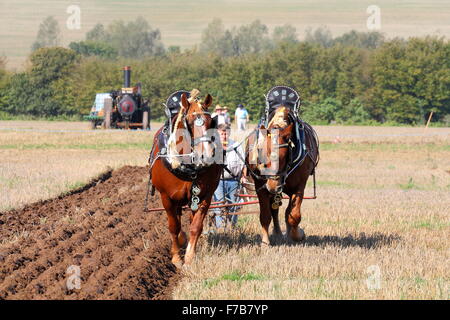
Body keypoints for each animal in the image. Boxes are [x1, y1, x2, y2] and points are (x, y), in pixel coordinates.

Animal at [149, 92, 223, 268]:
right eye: (189, 122)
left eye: (210, 121)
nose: (206, 155)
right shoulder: (166, 197)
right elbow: (173, 227)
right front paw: (176, 258)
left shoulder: (205, 196)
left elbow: (196, 226)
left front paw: (189, 257)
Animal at [246, 105, 320, 245]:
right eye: (261, 153)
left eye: (284, 157)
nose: (273, 185)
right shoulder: (261, 186)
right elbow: (265, 215)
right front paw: (265, 241)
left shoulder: (299, 186)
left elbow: (293, 215)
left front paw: (297, 235)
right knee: (274, 210)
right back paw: (278, 233)